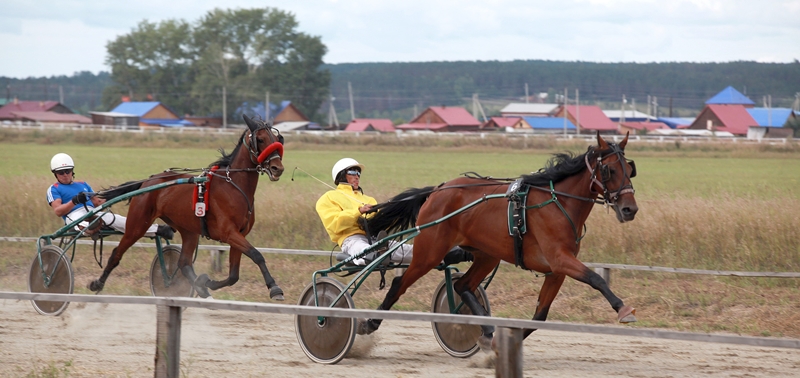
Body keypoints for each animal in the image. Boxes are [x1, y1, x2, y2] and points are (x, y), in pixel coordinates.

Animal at [90, 115, 286, 302]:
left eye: (278, 138)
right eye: (260, 139)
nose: (277, 168)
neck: (234, 186)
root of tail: (148, 181)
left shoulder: (239, 233)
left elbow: (233, 276)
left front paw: (206, 282)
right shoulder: (229, 233)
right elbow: (256, 254)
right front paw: (274, 288)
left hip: (188, 230)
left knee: (184, 263)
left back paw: (201, 288)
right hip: (137, 225)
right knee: (117, 253)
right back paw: (98, 283)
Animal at [362, 132, 636, 348]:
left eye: (630, 169)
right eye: (609, 170)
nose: (629, 209)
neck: (558, 202)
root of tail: (438, 190)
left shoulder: (556, 271)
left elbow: (539, 316)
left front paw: (498, 345)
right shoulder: (559, 259)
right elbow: (596, 278)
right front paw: (623, 309)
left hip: (487, 255)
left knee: (463, 286)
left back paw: (486, 330)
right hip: (429, 252)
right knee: (399, 283)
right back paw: (370, 322)